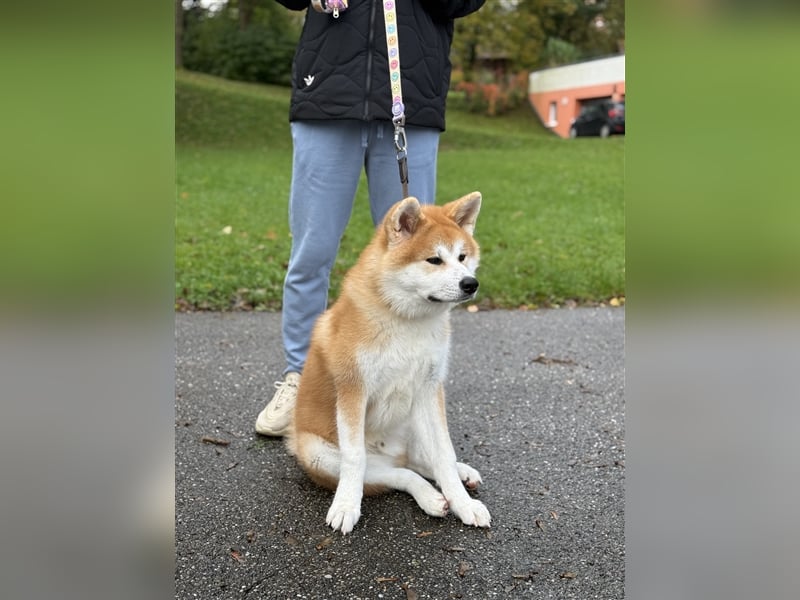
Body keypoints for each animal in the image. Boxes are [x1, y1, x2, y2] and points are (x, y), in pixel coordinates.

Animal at [284, 190, 490, 532]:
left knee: (418, 462)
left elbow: (443, 455)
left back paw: (460, 476)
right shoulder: (353, 390)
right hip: (318, 453)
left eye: (462, 257)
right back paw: (429, 497)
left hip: (413, 420)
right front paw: (345, 506)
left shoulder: (429, 389)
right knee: (396, 473)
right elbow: (355, 459)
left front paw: (463, 503)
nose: (470, 283)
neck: (406, 322)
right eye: (434, 260)